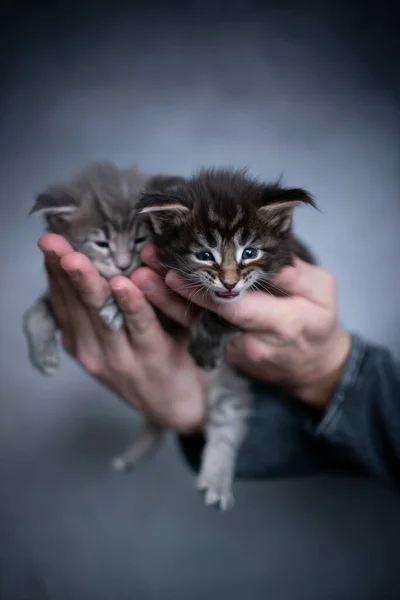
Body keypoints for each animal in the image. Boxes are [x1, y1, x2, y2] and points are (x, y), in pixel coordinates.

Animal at [24, 163, 187, 468]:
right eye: (101, 243)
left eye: (139, 240)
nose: (123, 265)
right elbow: (32, 313)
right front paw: (42, 354)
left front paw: (116, 305)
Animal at [138, 166, 318, 508]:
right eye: (204, 255)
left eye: (249, 252)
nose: (230, 282)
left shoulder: (282, 286)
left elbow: (223, 315)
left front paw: (204, 346)